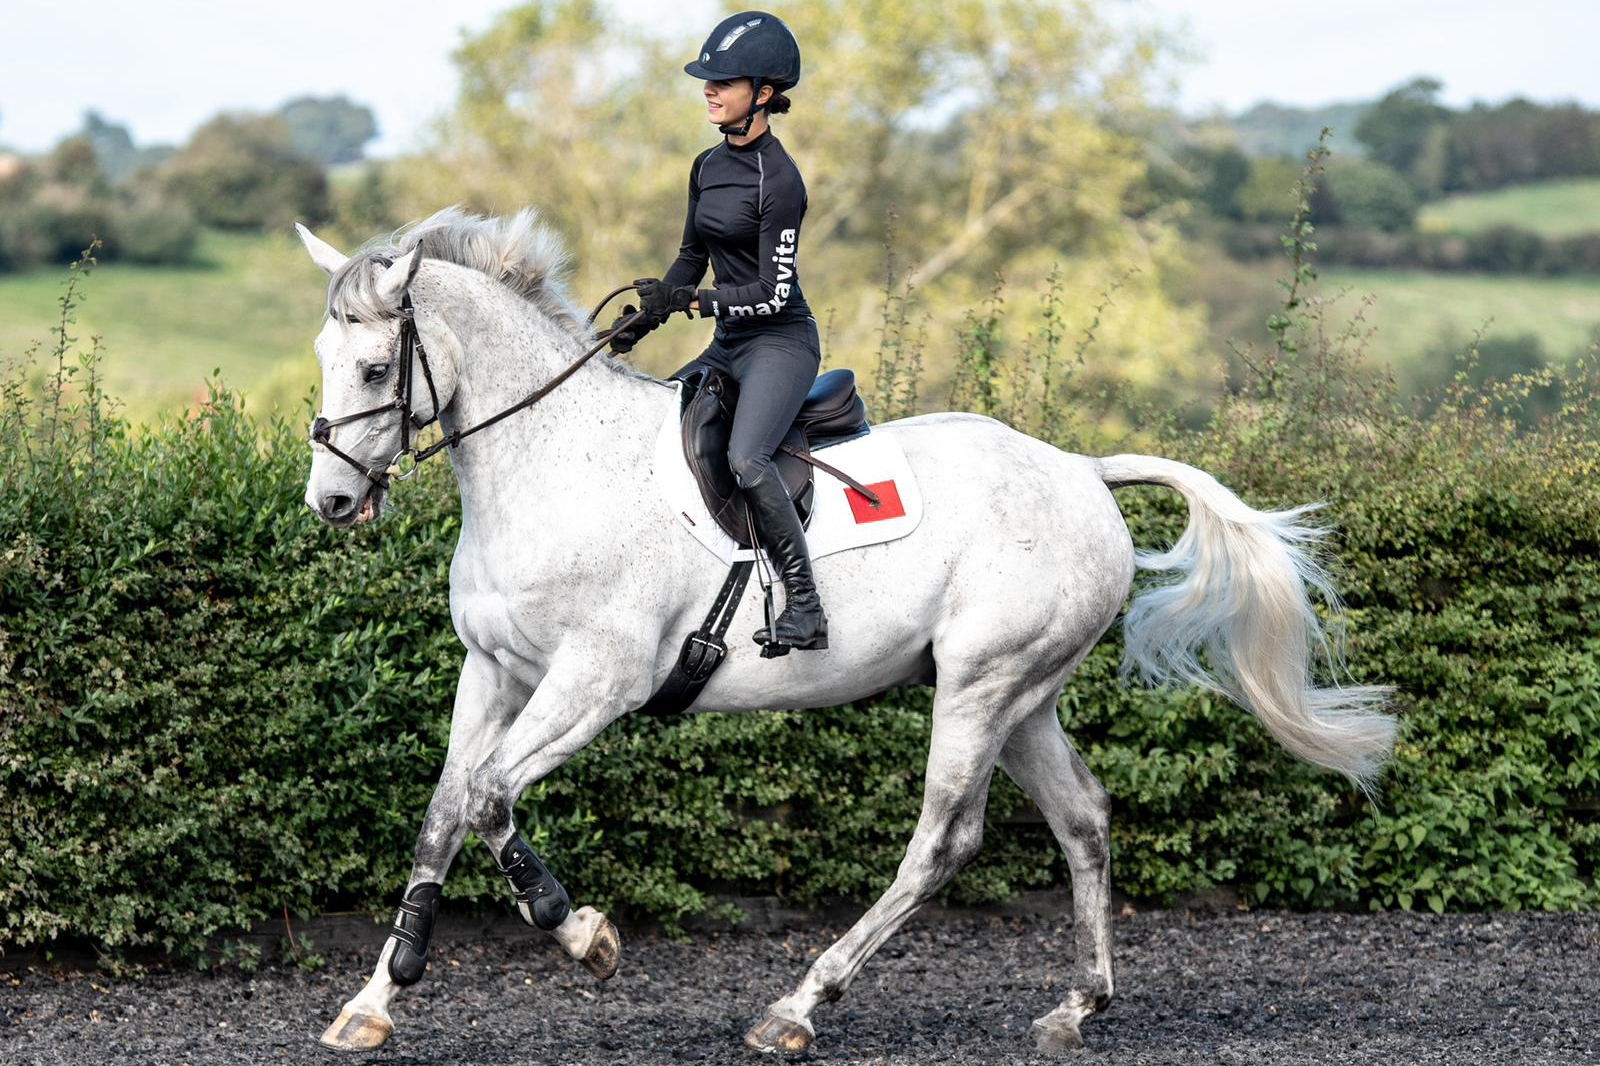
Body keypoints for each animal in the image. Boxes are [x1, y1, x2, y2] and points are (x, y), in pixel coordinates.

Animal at [296, 206, 1395, 1055]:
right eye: (322, 359)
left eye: (377, 367)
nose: (332, 503)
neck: (550, 461)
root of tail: (1082, 469)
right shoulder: (493, 671)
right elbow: (446, 810)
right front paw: (374, 1000)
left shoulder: (595, 680)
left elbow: (489, 799)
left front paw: (586, 938)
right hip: (1022, 694)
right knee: (1082, 815)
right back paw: (1076, 1007)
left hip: (982, 685)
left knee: (944, 840)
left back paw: (798, 1006)